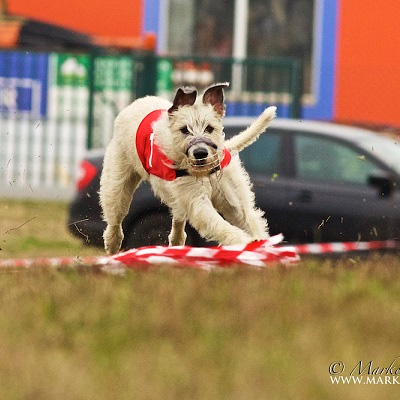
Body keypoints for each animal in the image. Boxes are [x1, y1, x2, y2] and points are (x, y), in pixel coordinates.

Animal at [99, 83, 276, 255]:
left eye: (209, 128)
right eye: (184, 129)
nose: (200, 153)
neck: (205, 173)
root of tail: (132, 105)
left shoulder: (232, 198)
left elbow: (245, 217)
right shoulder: (196, 199)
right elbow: (218, 223)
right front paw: (244, 242)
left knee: (179, 219)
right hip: (117, 185)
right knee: (115, 217)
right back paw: (113, 245)